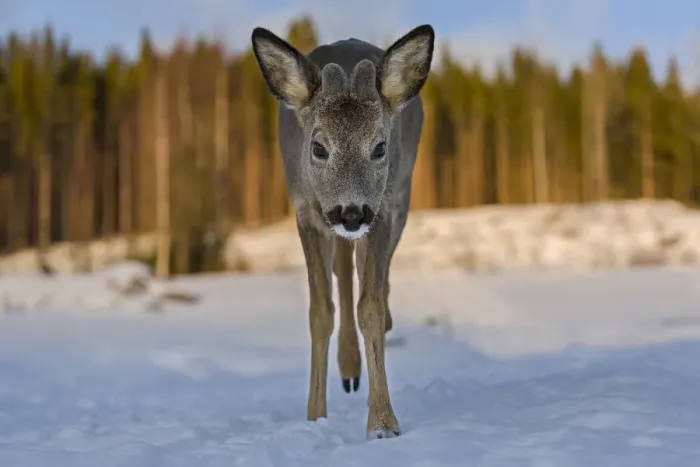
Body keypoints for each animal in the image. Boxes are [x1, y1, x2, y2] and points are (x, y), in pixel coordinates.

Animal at [250, 23, 435, 440]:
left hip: (397, 200)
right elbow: (320, 312)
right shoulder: (306, 210)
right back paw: (348, 368)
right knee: (343, 268)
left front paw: (382, 423)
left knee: (367, 276)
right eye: (319, 147)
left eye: (379, 146)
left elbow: (370, 307)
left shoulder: (384, 207)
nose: (351, 212)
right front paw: (315, 416)